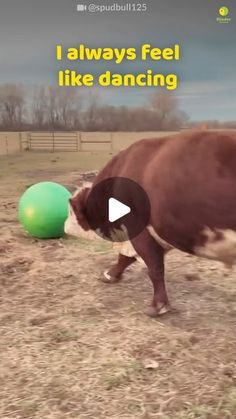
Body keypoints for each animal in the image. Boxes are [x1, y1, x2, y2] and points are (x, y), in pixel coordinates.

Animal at [65, 130, 236, 316]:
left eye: (70, 210)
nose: (64, 225)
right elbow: (126, 258)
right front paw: (110, 274)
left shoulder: (139, 229)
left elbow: (154, 268)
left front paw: (158, 305)